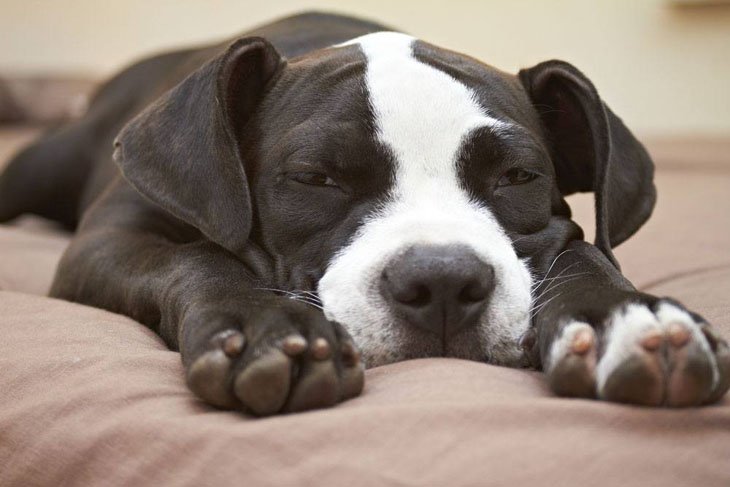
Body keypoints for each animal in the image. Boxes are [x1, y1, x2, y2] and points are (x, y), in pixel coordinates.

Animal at [0, 12, 724, 416]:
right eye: (315, 178)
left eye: (519, 176)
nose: (442, 282)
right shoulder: (110, 237)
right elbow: (199, 258)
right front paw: (264, 325)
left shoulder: (558, 233)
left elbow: (582, 249)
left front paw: (622, 316)